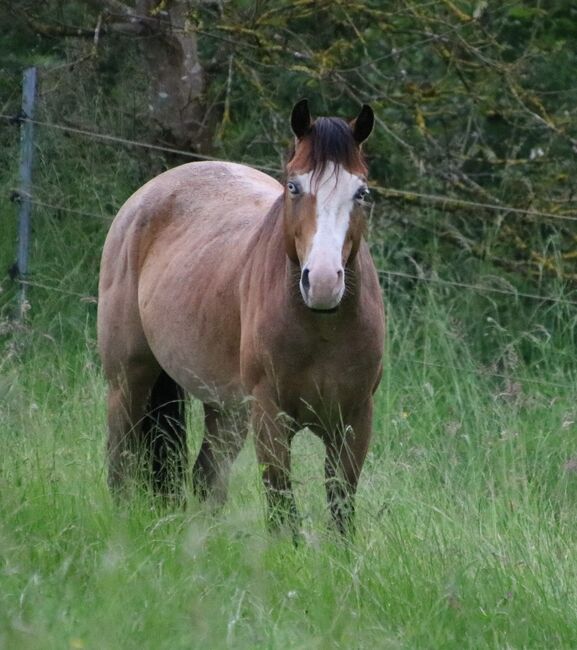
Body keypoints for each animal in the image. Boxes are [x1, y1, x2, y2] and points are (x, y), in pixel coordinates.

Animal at [97, 97, 384, 532]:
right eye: (294, 186)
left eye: (362, 192)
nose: (322, 282)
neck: (321, 328)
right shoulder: (270, 416)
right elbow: (282, 508)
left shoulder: (354, 421)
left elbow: (340, 510)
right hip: (129, 381)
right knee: (121, 459)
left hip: (226, 410)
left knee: (206, 479)